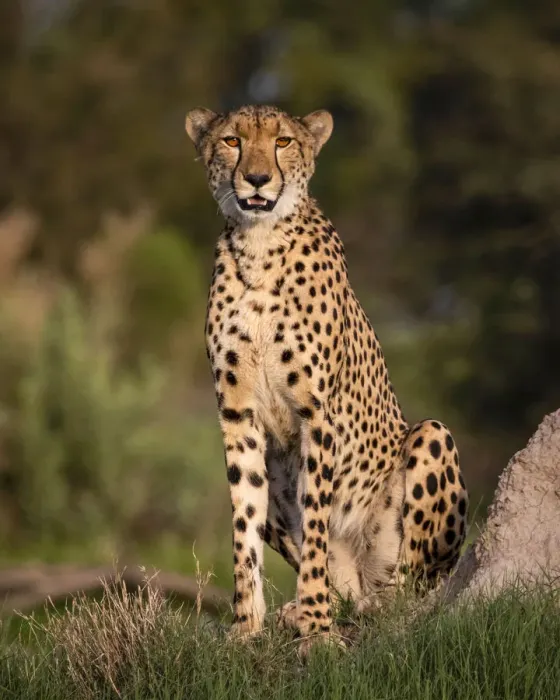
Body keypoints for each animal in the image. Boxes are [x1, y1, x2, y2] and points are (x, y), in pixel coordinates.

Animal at [185, 104, 469, 654]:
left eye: (283, 142)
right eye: (231, 141)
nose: (256, 179)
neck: (259, 245)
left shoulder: (316, 415)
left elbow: (316, 523)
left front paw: (317, 630)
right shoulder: (238, 417)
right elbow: (243, 526)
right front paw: (246, 627)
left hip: (431, 439)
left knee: (410, 591)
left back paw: (372, 606)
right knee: (343, 586)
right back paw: (301, 610)